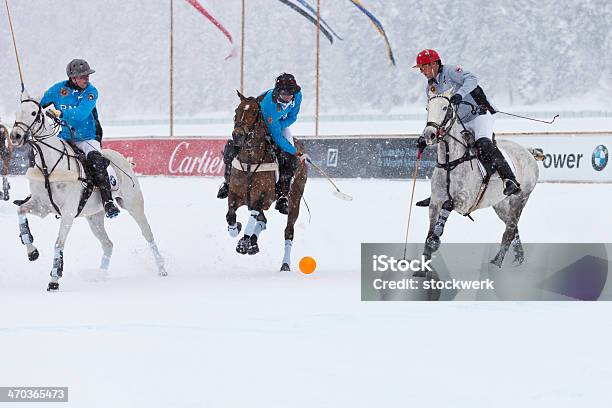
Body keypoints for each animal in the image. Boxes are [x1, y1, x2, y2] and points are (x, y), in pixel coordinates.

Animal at [9, 93, 167, 290]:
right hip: (94, 217)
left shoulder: (68, 212)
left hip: (134, 204)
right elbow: (20, 211)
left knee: (148, 234)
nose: (15, 136)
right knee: (108, 244)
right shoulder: (42, 206)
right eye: (17, 111)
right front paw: (32, 251)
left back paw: (162, 269)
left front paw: (54, 279)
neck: (48, 166)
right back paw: (100, 276)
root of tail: (125, 160)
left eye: (33, 113)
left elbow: (59, 242)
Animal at [227, 91, 308, 272]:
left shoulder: (264, 197)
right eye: (236, 111)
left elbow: (253, 215)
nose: (237, 135)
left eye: (254, 112)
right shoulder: (234, 194)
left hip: (295, 199)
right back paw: (253, 243)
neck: (250, 161)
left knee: (288, 231)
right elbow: (230, 216)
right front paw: (237, 229)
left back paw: (285, 264)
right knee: (263, 221)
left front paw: (244, 242)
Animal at [420, 89, 540, 268]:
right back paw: (519, 258)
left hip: (521, 198)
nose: (429, 135)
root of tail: (528, 151)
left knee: (510, 229)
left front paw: (435, 240)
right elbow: (428, 236)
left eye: (444, 107)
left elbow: (446, 209)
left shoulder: (464, 201)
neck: (451, 161)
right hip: (500, 204)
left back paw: (497, 264)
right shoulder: (434, 203)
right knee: (512, 226)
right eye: (427, 108)